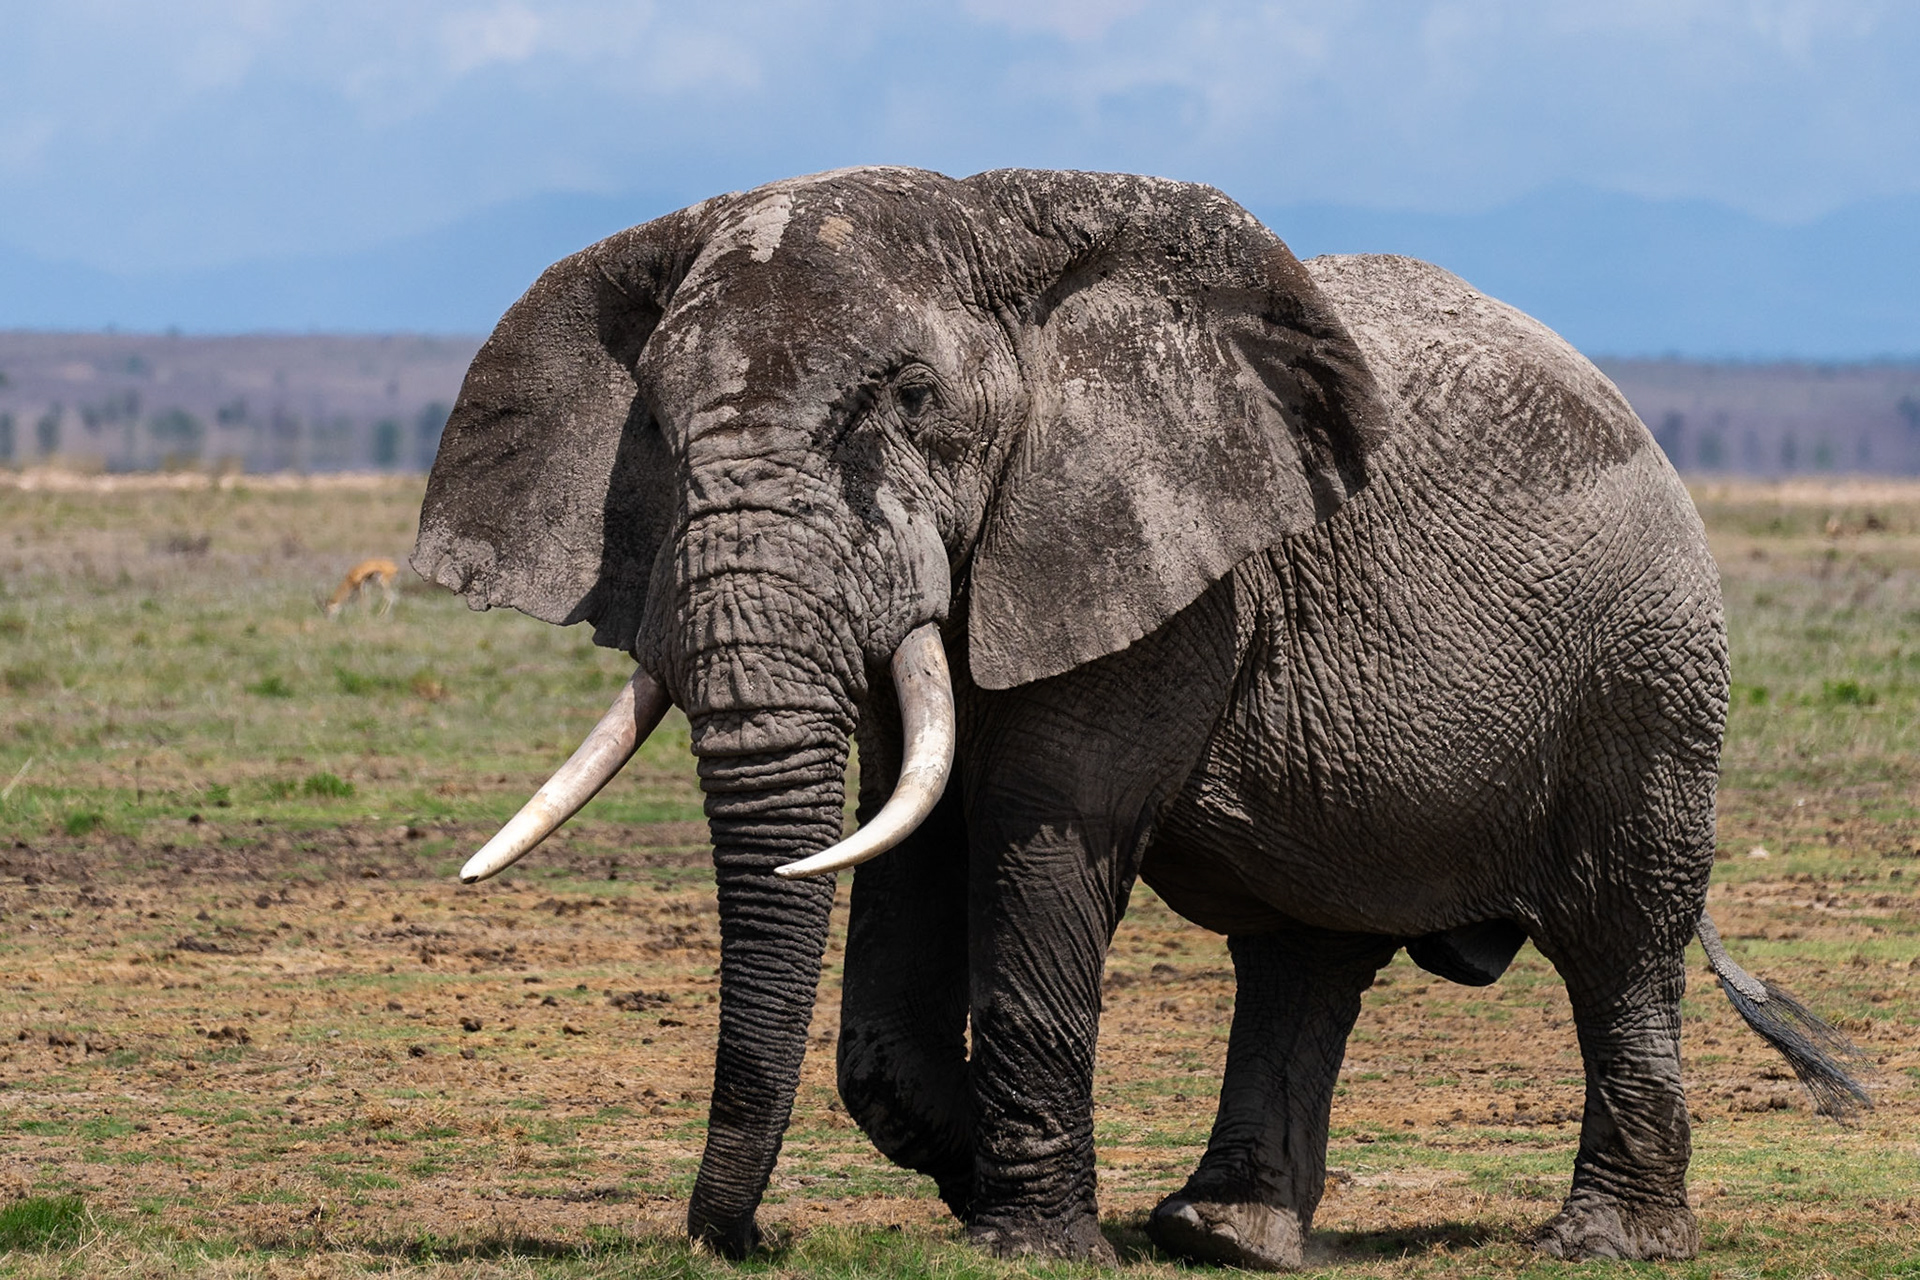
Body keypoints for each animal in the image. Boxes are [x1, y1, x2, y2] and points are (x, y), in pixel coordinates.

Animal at [412, 167, 1869, 1269]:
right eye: (654, 430)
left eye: (908, 403)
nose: (743, 1239)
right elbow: (910, 845)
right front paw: (1009, 1191)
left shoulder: (1162, 568)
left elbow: (1039, 829)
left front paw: (1030, 1240)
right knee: (1306, 955)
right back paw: (1216, 1234)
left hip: (1650, 678)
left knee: (1620, 943)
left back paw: (1604, 1242)